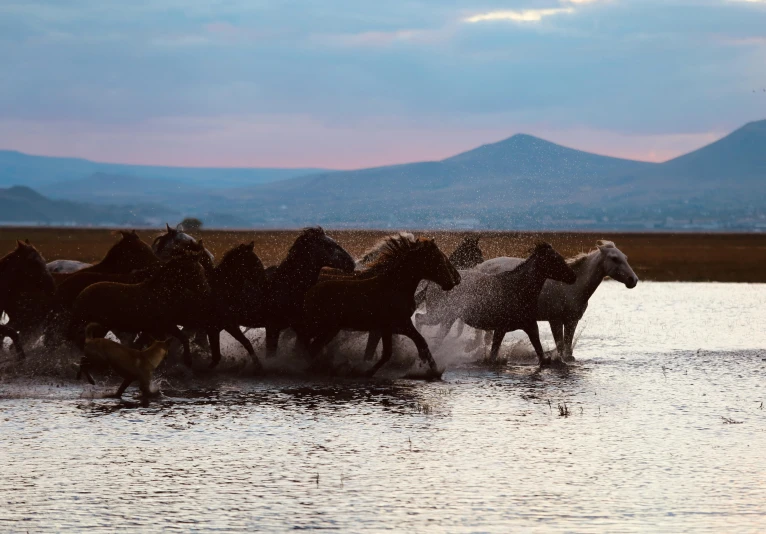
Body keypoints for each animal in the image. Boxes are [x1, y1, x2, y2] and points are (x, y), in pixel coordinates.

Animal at [476, 242, 640, 360]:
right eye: (614, 258)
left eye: (625, 258)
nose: (633, 280)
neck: (571, 287)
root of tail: (479, 267)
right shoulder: (554, 320)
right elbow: (560, 347)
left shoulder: (571, 321)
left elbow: (567, 349)